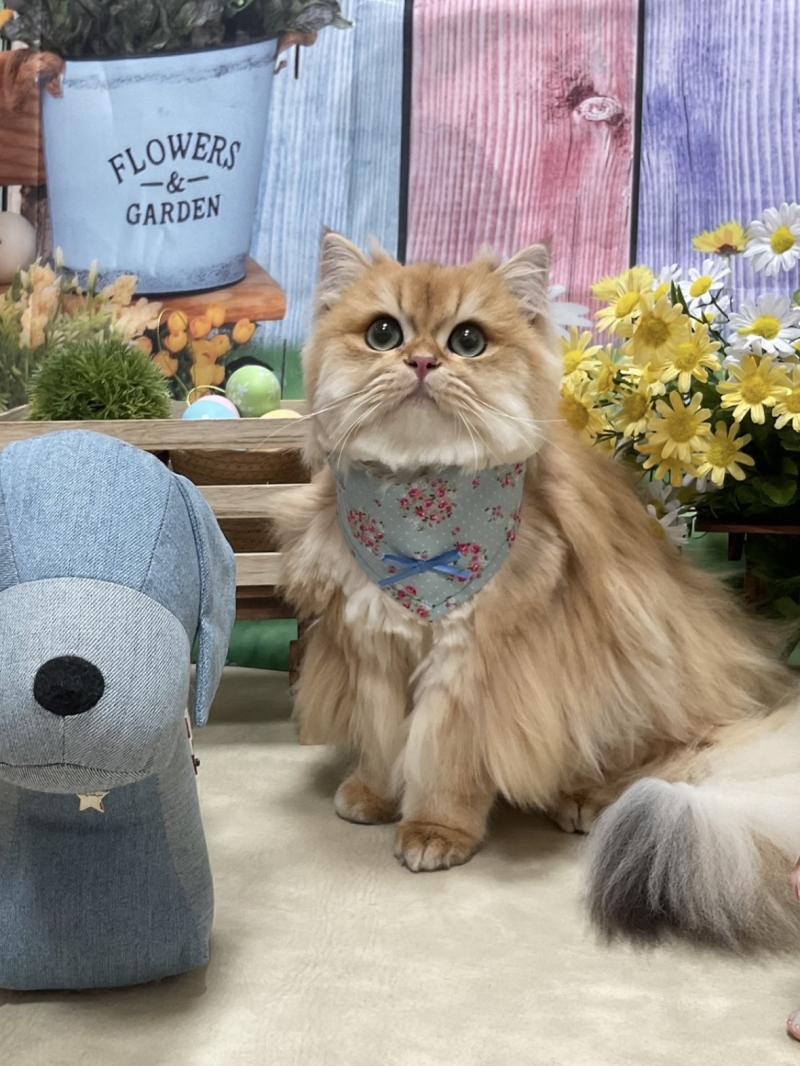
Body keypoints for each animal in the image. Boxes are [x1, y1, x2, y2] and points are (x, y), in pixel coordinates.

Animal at [267, 233, 800, 950]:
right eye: (383, 333)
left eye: (468, 340)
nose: (422, 361)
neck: (421, 508)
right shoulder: (377, 646)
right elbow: (383, 740)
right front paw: (375, 796)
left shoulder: (469, 670)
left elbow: (442, 758)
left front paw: (435, 830)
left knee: (659, 757)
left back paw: (583, 798)